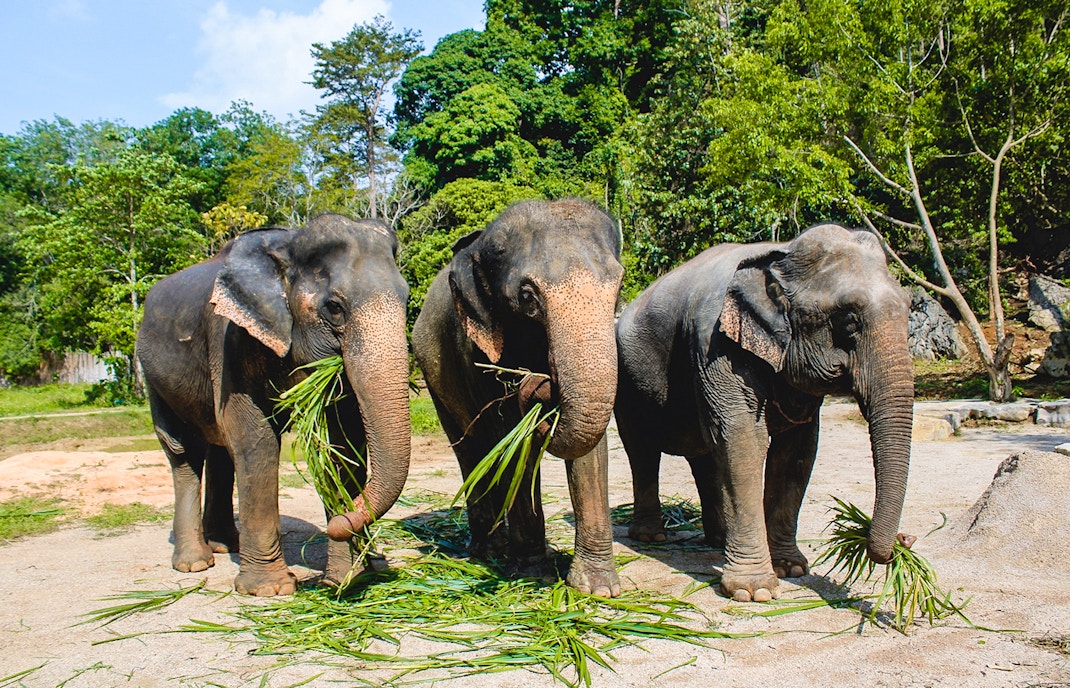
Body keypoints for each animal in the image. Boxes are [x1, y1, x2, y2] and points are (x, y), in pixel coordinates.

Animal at [136, 214, 411, 596]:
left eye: (407, 299)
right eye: (334, 307)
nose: (341, 522)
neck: (288, 243)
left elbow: (342, 443)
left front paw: (351, 577)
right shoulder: (229, 336)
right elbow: (255, 437)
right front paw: (270, 590)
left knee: (220, 451)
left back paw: (226, 544)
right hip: (153, 375)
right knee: (183, 450)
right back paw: (195, 563)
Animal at [411, 198, 624, 598]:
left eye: (618, 288)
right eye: (527, 298)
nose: (541, 382)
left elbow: (590, 451)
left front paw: (597, 589)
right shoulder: (480, 353)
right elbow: (514, 441)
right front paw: (532, 575)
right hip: (433, 377)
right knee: (471, 449)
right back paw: (488, 551)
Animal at [614, 223, 914, 602]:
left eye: (910, 309)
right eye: (848, 321)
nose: (906, 539)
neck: (781, 253)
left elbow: (797, 452)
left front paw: (791, 569)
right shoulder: (715, 343)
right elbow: (744, 440)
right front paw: (753, 591)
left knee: (706, 456)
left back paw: (718, 539)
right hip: (626, 382)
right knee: (642, 450)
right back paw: (651, 536)